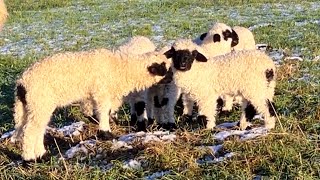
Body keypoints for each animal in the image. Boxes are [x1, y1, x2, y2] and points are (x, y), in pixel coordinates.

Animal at [11, 47, 171, 160]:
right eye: (164, 69)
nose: (171, 79)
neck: (120, 69)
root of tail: (22, 84)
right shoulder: (101, 91)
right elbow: (103, 111)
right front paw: (106, 133)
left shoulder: (90, 96)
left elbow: (94, 111)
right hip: (40, 102)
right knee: (30, 131)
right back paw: (30, 159)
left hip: (32, 106)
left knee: (37, 129)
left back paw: (42, 155)